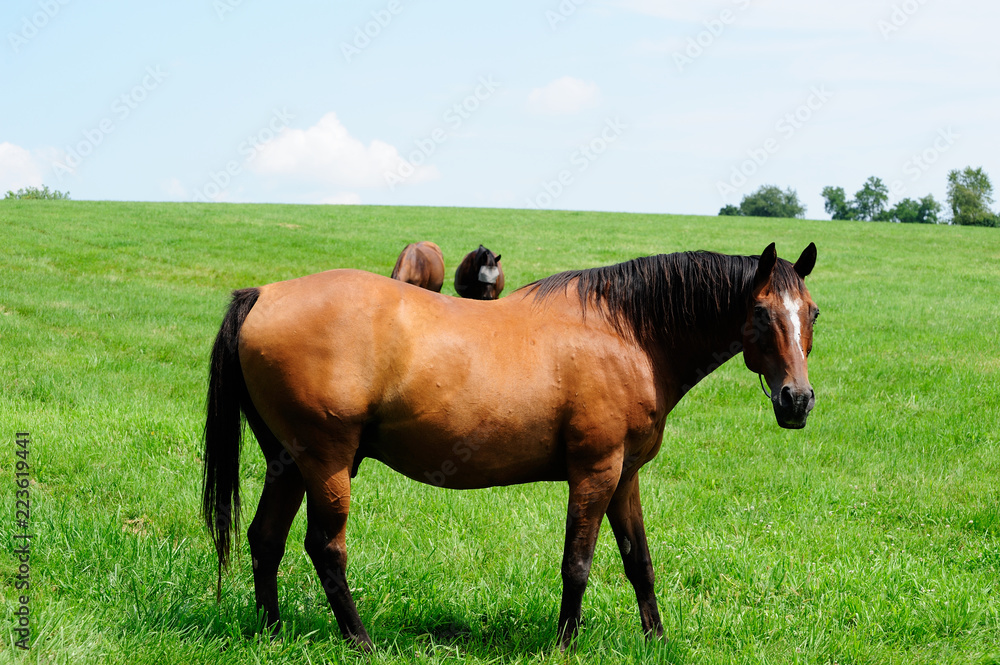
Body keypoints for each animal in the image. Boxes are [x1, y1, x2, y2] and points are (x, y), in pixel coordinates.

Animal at [203, 240, 820, 648]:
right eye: (760, 311)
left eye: (812, 312)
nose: (797, 400)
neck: (624, 333)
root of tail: (263, 295)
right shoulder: (595, 472)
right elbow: (578, 563)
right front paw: (565, 646)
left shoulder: (625, 475)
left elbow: (638, 562)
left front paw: (657, 641)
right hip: (326, 462)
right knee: (326, 549)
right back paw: (360, 641)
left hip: (289, 464)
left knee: (266, 538)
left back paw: (272, 631)